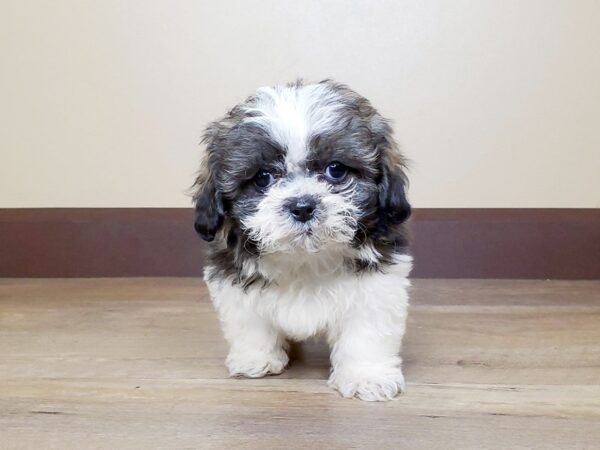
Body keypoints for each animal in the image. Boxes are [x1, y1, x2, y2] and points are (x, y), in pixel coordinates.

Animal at [192, 80, 412, 400]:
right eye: (263, 177)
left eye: (336, 169)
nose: (303, 206)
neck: (305, 256)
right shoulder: (234, 282)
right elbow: (250, 323)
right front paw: (256, 358)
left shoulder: (378, 284)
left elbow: (366, 331)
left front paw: (366, 375)